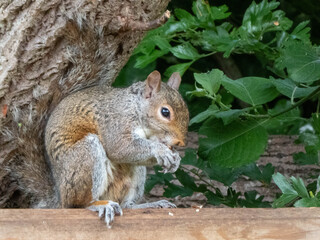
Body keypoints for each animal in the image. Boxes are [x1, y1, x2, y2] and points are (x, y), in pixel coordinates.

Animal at [43, 70, 189, 226]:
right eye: (165, 112)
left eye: (187, 111)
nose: (180, 143)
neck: (134, 107)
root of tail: (60, 196)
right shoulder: (115, 122)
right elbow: (119, 147)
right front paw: (160, 150)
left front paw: (176, 159)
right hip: (85, 156)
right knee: (77, 205)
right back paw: (100, 205)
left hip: (136, 175)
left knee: (126, 204)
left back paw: (151, 205)